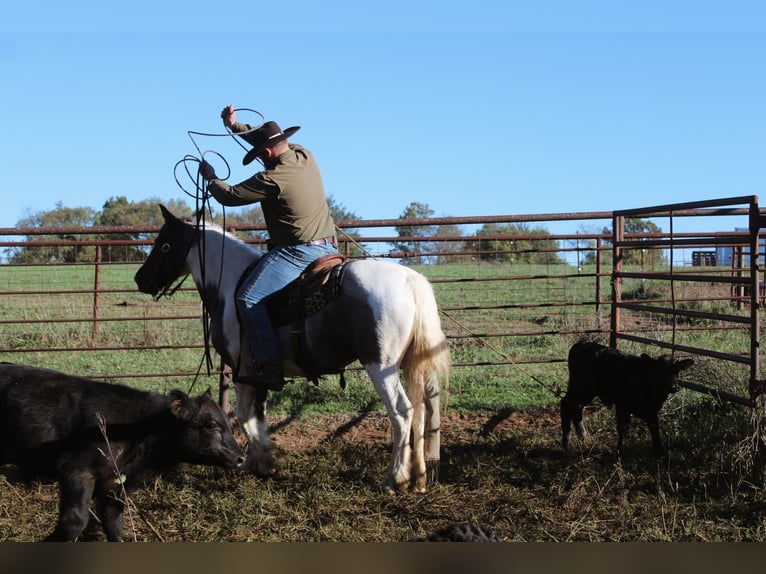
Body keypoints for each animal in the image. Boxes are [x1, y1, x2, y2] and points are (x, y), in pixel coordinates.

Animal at [134, 205, 450, 492]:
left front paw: (262, 464)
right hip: (410, 364)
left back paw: (395, 479)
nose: (141, 279)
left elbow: (244, 415)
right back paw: (419, 478)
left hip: (379, 365)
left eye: (164, 244)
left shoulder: (242, 372)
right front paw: (258, 462)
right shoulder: (260, 374)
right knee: (421, 410)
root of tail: (410, 281)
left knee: (402, 412)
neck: (230, 284)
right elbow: (257, 416)